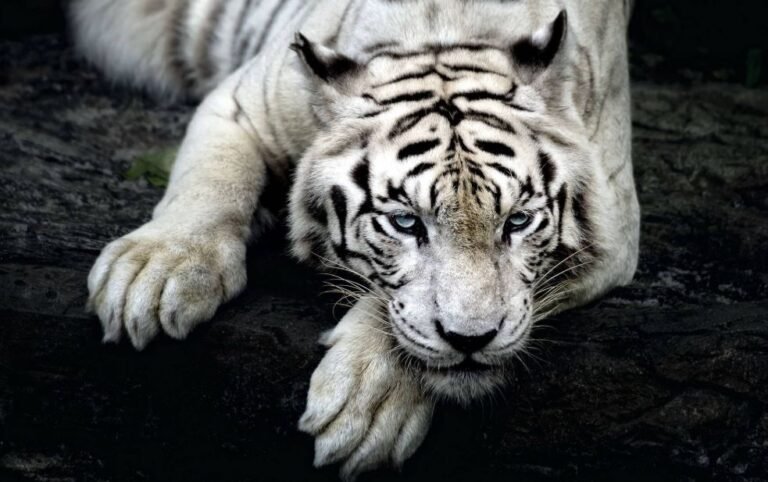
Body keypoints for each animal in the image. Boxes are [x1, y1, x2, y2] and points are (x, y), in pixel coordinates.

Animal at [72, 0, 639, 478]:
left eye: (517, 222)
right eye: (406, 222)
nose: (471, 340)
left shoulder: (614, 229)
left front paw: (367, 402)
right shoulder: (241, 103)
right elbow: (210, 181)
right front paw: (153, 274)